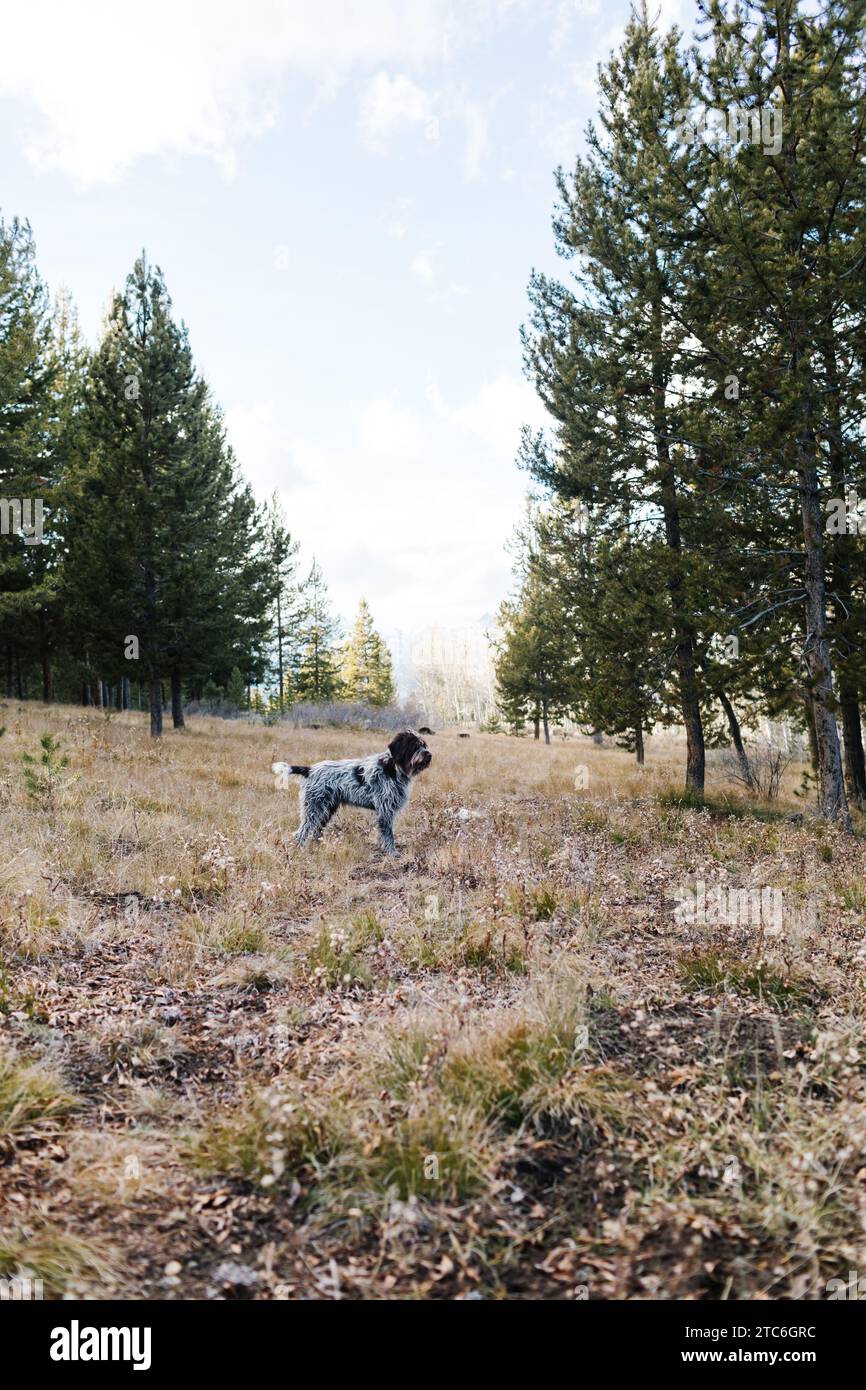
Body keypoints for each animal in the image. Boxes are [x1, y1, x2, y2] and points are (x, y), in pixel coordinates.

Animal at [272, 733, 430, 850]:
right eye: (415, 745)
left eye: (424, 745)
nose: (428, 755)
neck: (394, 768)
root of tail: (310, 770)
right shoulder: (385, 810)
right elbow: (388, 834)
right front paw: (392, 853)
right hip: (314, 808)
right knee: (303, 831)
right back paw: (300, 849)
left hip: (326, 808)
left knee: (317, 830)